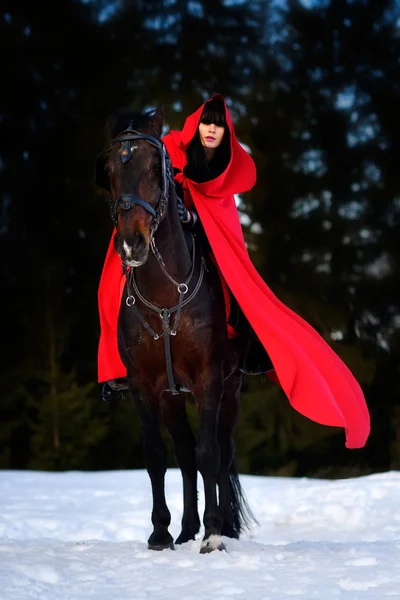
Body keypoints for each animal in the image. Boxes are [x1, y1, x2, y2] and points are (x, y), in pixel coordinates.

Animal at [95, 104, 255, 552]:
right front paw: (161, 532)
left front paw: (214, 532)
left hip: (231, 389)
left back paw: (222, 526)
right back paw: (184, 529)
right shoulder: (144, 386)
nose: (131, 242)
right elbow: (156, 456)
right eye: (109, 169)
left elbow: (210, 454)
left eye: (155, 165)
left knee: (220, 450)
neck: (167, 296)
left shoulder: (209, 380)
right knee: (183, 454)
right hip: (171, 395)